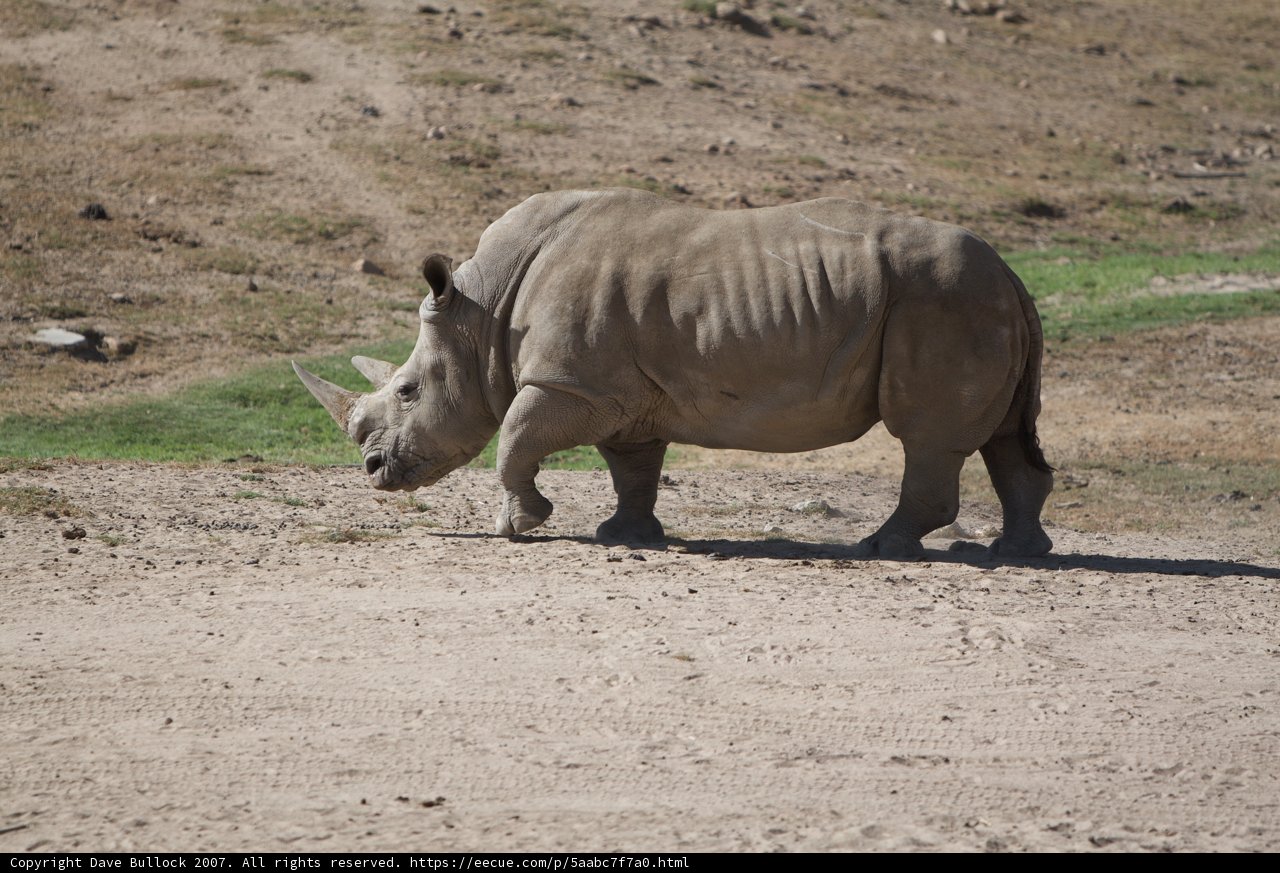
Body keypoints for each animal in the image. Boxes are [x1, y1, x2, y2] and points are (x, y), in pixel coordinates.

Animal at [294, 189, 1053, 558]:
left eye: (408, 391)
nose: (373, 469)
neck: (480, 314)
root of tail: (1015, 276)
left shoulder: (569, 381)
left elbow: (513, 435)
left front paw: (521, 525)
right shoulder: (621, 393)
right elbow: (632, 466)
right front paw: (625, 536)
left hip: (943, 302)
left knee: (927, 437)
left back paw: (882, 546)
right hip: (975, 302)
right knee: (1007, 437)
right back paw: (1018, 551)